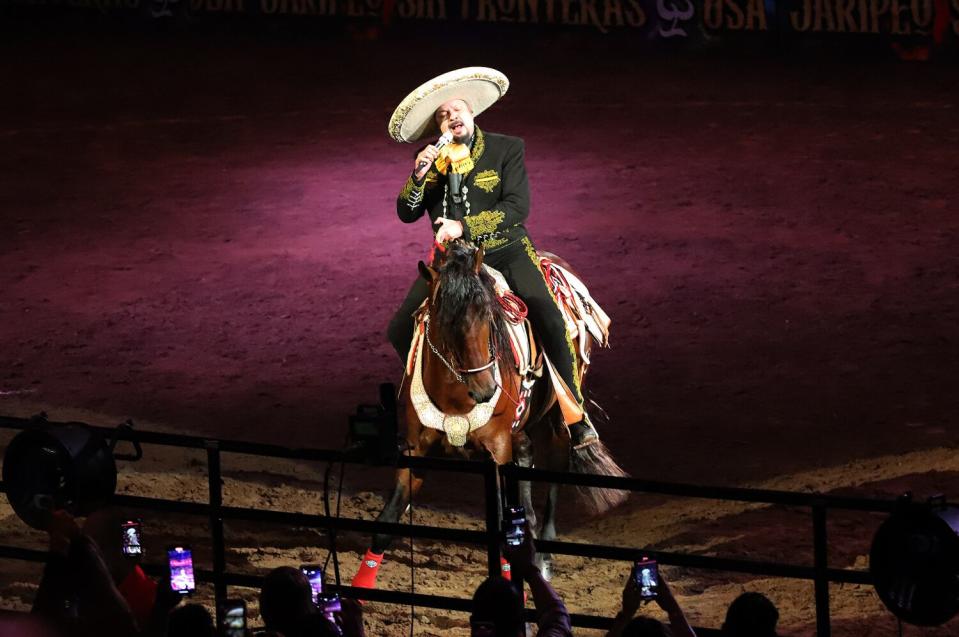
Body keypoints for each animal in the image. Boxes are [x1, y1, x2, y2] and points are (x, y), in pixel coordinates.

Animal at [356, 240, 628, 588]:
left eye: (488, 314)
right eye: (443, 321)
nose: (485, 388)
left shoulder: (497, 451)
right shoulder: (416, 450)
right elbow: (386, 521)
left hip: (559, 414)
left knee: (556, 466)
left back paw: (544, 560)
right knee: (526, 457)